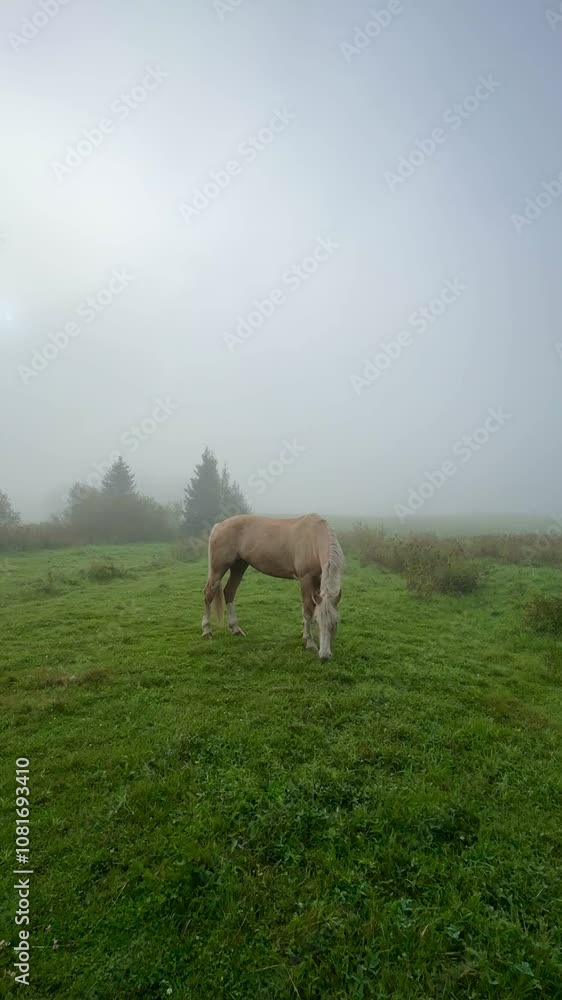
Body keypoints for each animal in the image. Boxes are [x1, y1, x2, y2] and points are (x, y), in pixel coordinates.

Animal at [201, 513, 344, 660]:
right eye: (318, 621)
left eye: (336, 622)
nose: (325, 656)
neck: (313, 537)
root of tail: (219, 525)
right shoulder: (306, 578)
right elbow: (308, 608)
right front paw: (309, 642)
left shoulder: (318, 579)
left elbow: (311, 607)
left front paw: (305, 633)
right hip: (218, 569)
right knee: (208, 594)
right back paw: (207, 631)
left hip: (239, 566)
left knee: (229, 592)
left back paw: (236, 630)